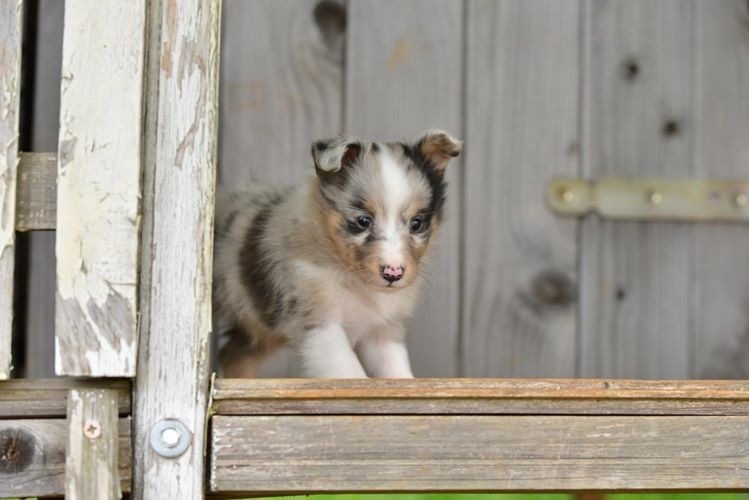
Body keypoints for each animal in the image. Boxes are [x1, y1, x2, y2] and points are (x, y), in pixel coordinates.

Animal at [212, 127, 462, 376]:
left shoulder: (382, 329)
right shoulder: (320, 323)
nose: (393, 274)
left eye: (417, 223)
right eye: (363, 220)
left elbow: (395, 369)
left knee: (232, 356)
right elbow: (348, 371)